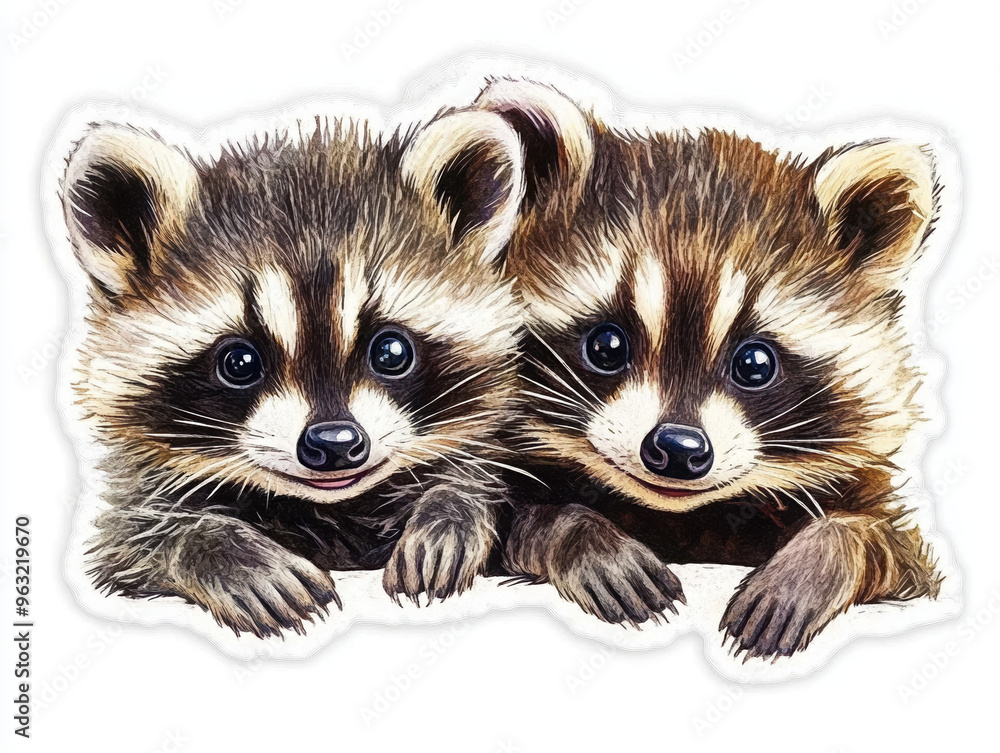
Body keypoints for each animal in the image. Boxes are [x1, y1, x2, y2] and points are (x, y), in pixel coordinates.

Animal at [61, 109, 525, 637]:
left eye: (391, 351)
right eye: (239, 363)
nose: (335, 443)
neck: (331, 510)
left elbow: (473, 472)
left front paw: (449, 506)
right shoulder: (132, 503)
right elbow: (134, 534)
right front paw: (220, 547)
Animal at [476, 80, 942, 658]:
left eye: (755, 363)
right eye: (607, 345)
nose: (678, 448)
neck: (679, 519)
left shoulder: (896, 536)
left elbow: (886, 543)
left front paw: (817, 559)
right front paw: (580, 534)